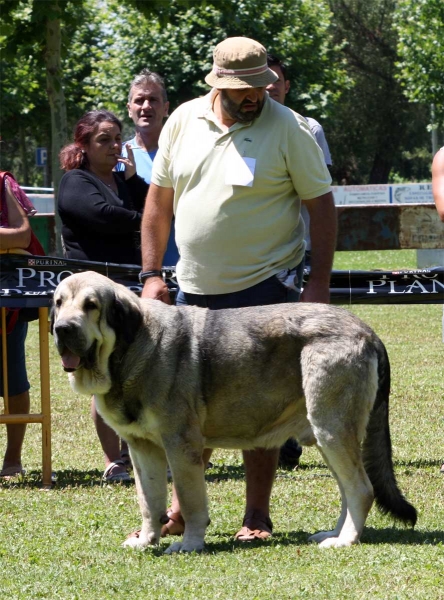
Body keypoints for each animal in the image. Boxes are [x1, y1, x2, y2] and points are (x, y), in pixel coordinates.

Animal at [51, 272, 416, 552]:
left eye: (91, 306)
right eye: (58, 303)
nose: (62, 329)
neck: (131, 349)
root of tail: (366, 330)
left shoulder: (181, 447)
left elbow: (191, 501)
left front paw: (189, 544)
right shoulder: (142, 449)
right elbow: (149, 501)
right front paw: (146, 540)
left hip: (332, 428)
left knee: (362, 489)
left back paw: (345, 540)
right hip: (330, 436)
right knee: (348, 490)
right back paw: (336, 533)